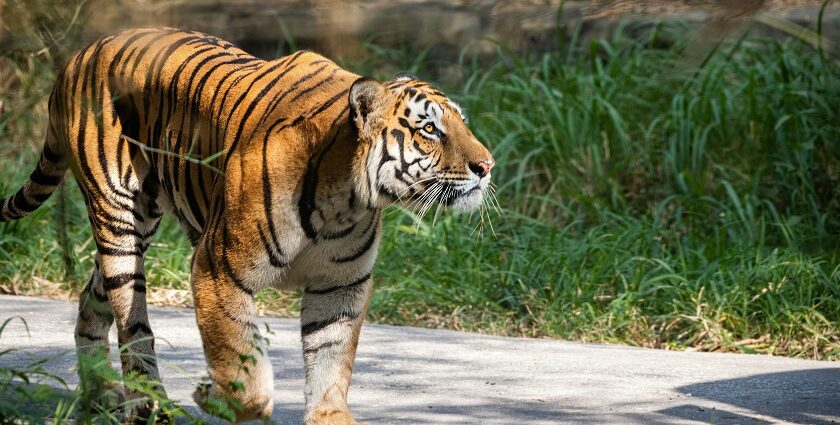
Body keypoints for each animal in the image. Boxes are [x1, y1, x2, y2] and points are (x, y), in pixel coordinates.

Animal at [0, 28, 496, 422]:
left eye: (461, 124)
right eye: (429, 130)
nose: (487, 166)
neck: (348, 200)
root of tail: (81, 53)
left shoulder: (340, 286)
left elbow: (330, 365)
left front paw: (330, 415)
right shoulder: (216, 269)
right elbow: (241, 362)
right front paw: (216, 397)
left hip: (134, 230)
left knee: (91, 300)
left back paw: (100, 395)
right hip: (119, 217)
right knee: (132, 324)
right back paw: (148, 406)